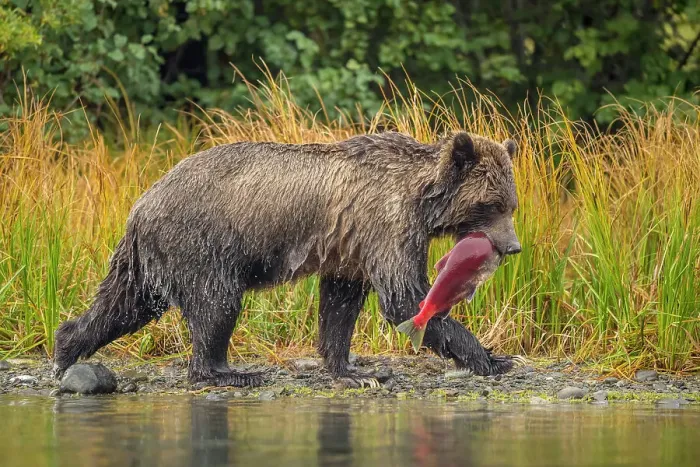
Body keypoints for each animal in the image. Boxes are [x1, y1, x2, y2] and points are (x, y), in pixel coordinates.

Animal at [53, 130, 523, 388]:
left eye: (512, 204)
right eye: (493, 204)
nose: (514, 246)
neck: (421, 199)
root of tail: (140, 205)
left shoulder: (349, 246)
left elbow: (340, 305)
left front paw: (353, 369)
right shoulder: (386, 224)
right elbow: (404, 296)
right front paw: (492, 358)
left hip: (148, 258)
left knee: (124, 304)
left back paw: (64, 350)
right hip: (201, 244)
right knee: (217, 305)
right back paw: (228, 371)